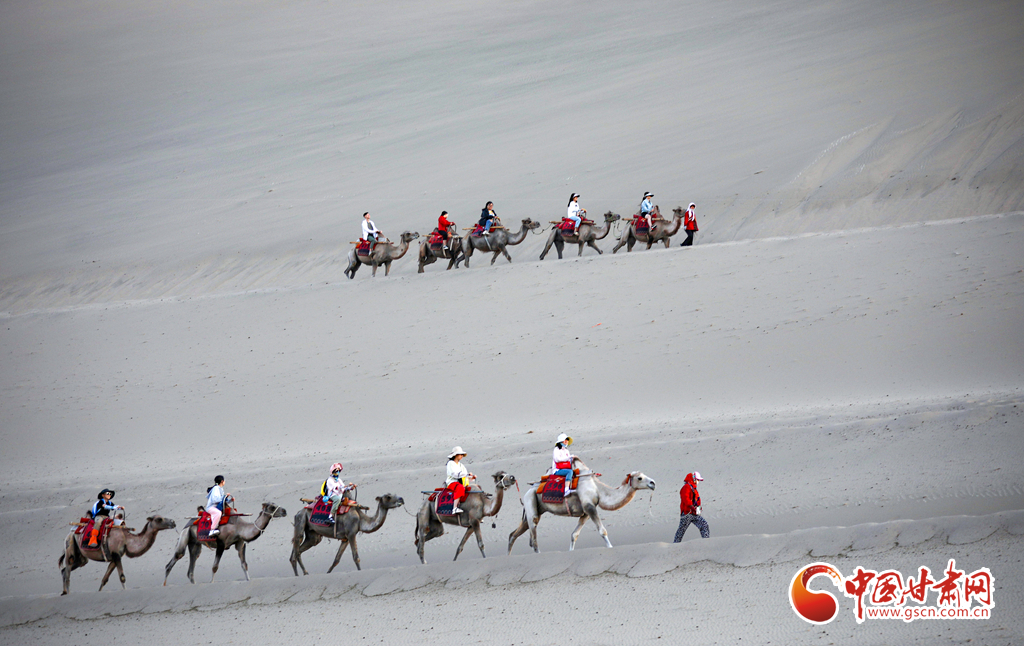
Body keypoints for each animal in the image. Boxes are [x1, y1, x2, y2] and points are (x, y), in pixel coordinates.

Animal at [507, 458, 655, 553]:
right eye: (640, 478)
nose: (653, 483)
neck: (598, 489)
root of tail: (528, 490)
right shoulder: (589, 506)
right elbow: (602, 531)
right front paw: (611, 548)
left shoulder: (585, 513)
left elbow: (574, 535)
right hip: (530, 501)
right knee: (534, 537)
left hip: (533, 509)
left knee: (513, 535)